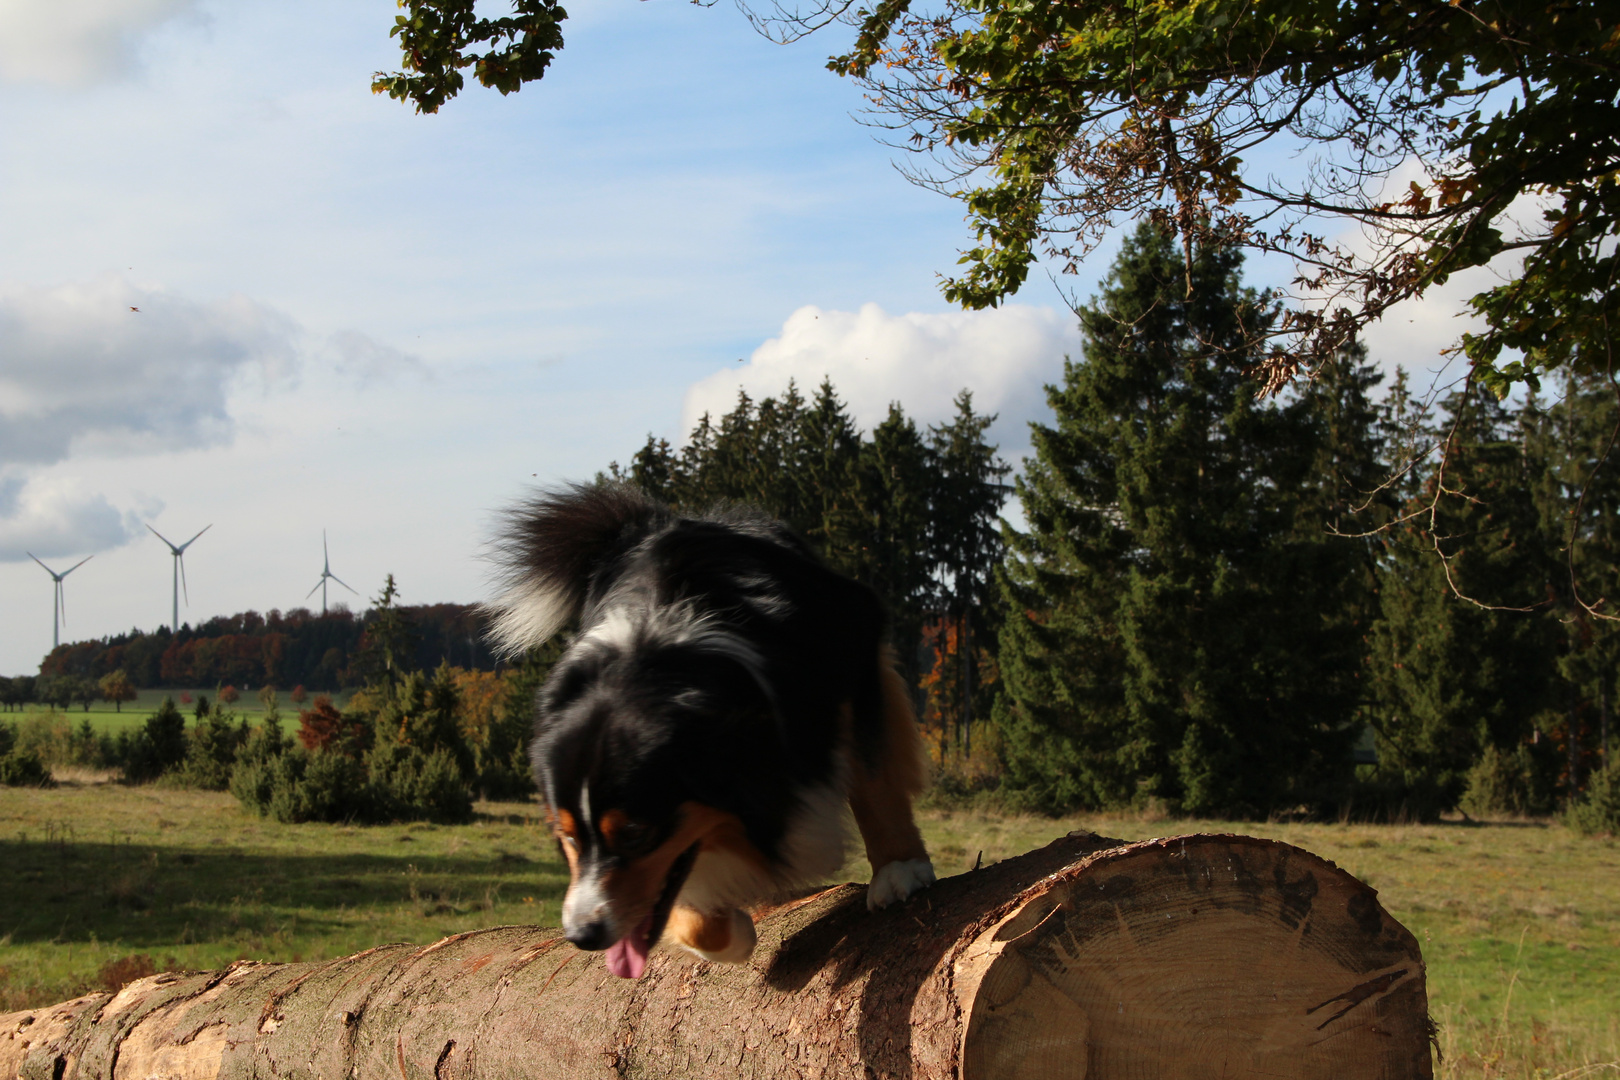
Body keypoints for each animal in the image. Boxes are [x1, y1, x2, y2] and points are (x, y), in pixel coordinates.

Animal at [482, 485, 939, 984]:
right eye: (567, 838)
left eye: (636, 833)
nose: (583, 935)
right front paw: (730, 934)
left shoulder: (852, 642)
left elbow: (874, 780)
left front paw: (900, 869)